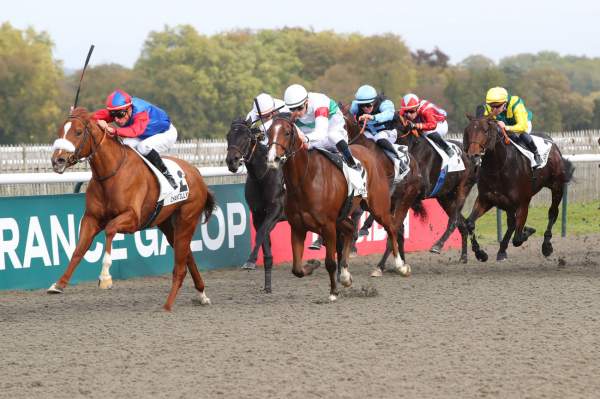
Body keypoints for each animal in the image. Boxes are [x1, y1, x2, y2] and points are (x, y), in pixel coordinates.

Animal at [49, 109, 214, 312]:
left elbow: (110, 229)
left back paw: (168, 305)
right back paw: (201, 294)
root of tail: (196, 172)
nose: (57, 160)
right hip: (167, 223)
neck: (111, 174)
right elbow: (79, 250)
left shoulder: (132, 219)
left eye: (78, 132)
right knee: (187, 254)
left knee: (181, 264)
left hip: (187, 219)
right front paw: (59, 284)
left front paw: (105, 278)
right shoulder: (91, 218)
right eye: (60, 131)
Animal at [225, 116, 286, 294]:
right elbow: (264, 241)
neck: (263, 176)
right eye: (228, 136)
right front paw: (267, 287)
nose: (232, 161)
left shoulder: (275, 211)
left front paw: (250, 261)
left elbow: (260, 234)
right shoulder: (258, 214)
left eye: (246, 137)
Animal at [268, 114, 408, 302]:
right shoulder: (298, 227)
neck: (305, 179)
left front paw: (333, 292)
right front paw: (313, 265)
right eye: (268, 132)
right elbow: (296, 269)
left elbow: (330, 262)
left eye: (287, 132)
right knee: (351, 229)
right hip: (341, 217)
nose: (273, 159)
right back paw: (345, 276)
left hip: (378, 207)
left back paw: (401, 266)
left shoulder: (327, 226)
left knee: (392, 228)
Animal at [394, 119, 478, 262]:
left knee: (454, 220)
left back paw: (437, 245)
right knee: (463, 223)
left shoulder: (422, 189)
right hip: (445, 197)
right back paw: (466, 256)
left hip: (463, 188)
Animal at [462, 115, 576, 262]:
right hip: (507, 203)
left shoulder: (523, 202)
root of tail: (552, 142)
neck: (499, 167)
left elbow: (517, 238)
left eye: (485, 131)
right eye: (468, 131)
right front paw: (480, 253)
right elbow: (469, 223)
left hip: (557, 186)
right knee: (511, 223)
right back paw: (502, 250)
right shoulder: (486, 199)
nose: (473, 155)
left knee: (552, 213)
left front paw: (528, 231)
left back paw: (546, 245)